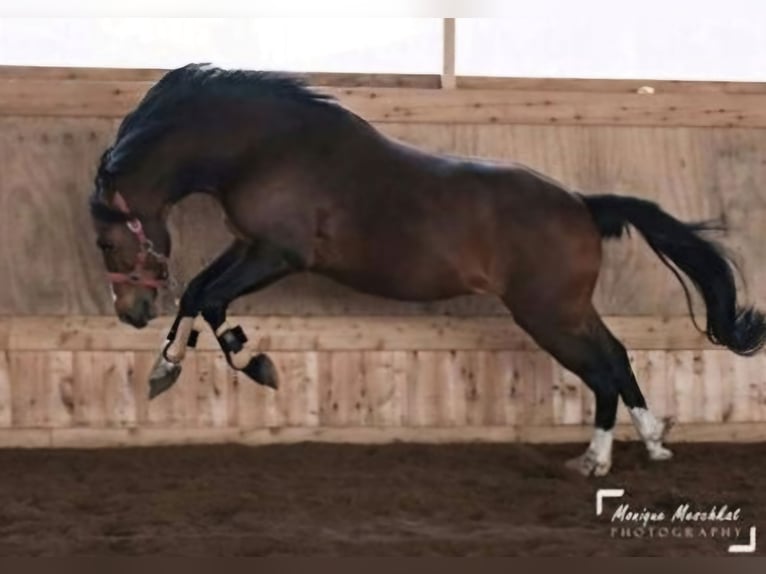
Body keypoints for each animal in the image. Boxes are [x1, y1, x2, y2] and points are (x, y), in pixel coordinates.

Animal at [89, 64, 766, 476]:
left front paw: (252, 365)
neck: (266, 147)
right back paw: (651, 443)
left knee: (602, 370)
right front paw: (165, 369)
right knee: (619, 358)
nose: (130, 312)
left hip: (548, 314)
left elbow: (209, 301)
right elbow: (198, 294)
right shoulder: (249, 245)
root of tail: (582, 204)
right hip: (568, 311)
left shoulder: (277, 253)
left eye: (105, 241)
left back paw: (597, 459)